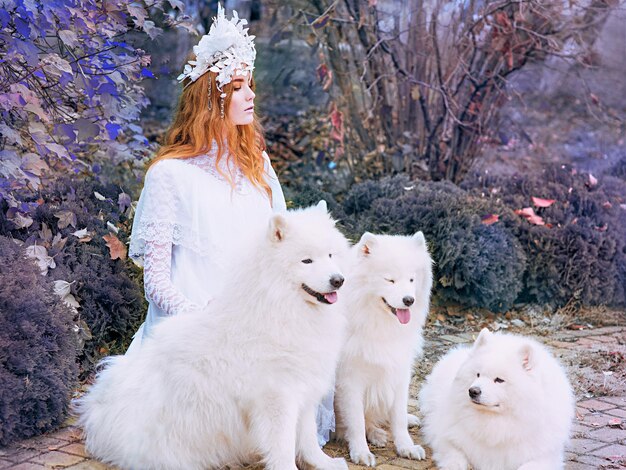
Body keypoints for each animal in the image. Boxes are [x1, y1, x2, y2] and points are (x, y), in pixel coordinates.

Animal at [75, 204, 348, 470]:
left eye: (330, 255)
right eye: (307, 260)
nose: (338, 280)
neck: (278, 307)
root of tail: (97, 409)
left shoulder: (304, 389)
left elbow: (308, 436)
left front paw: (324, 463)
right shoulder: (277, 398)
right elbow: (283, 445)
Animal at [334, 231, 432, 466]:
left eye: (412, 279)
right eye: (390, 279)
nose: (409, 300)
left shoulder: (399, 372)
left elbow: (398, 417)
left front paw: (406, 447)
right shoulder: (350, 381)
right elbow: (356, 422)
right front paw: (361, 452)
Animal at [416, 326, 572, 470]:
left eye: (499, 380)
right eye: (478, 374)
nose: (473, 391)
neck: (494, 425)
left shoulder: (545, 456)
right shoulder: (443, 435)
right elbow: (454, 453)